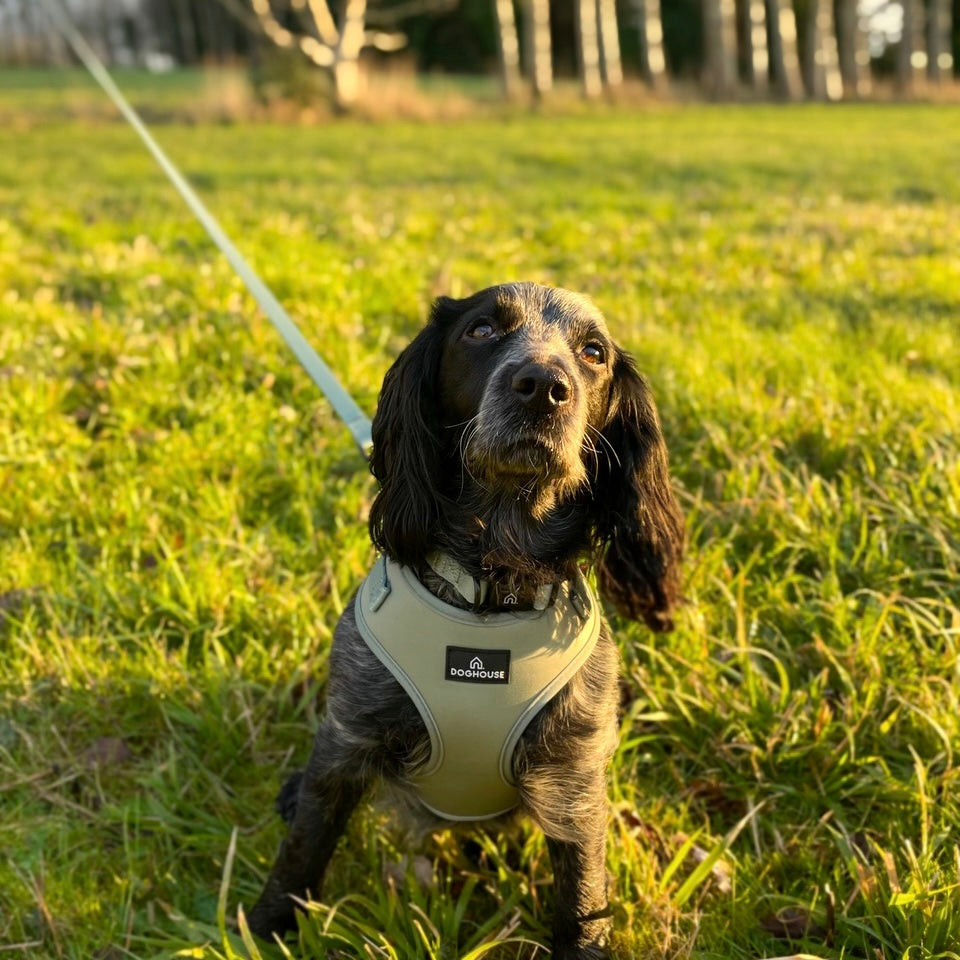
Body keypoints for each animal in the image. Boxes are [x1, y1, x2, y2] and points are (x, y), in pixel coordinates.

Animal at [248, 282, 684, 956]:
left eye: (593, 352)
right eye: (481, 331)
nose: (543, 386)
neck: (491, 587)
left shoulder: (573, 780)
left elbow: (583, 900)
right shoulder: (349, 736)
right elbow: (303, 850)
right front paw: (268, 927)